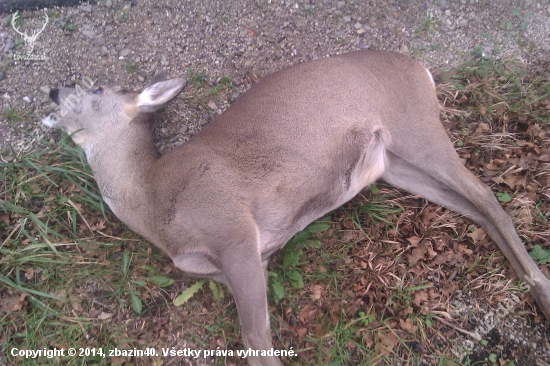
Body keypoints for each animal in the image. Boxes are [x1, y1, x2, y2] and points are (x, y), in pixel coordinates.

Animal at [43, 50, 550, 364]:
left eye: (96, 90)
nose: (52, 91)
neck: (152, 201)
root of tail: (419, 67)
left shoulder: (233, 231)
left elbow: (256, 340)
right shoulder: (241, 259)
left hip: (414, 123)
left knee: (487, 197)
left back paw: (542, 297)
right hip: (394, 164)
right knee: (476, 208)